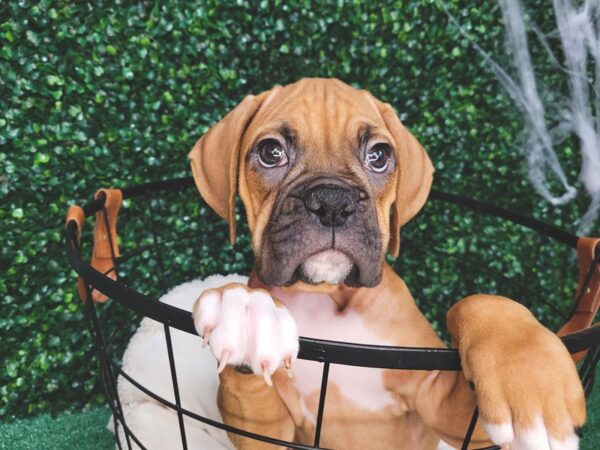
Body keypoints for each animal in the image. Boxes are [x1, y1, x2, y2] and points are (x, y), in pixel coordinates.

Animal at [189, 78, 584, 450]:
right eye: (270, 153)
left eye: (378, 155)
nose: (332, 201)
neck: (326, 297)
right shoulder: (268, 430)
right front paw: (245, 311)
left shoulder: (440, 401)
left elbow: (475, 301)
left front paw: (527, 374)